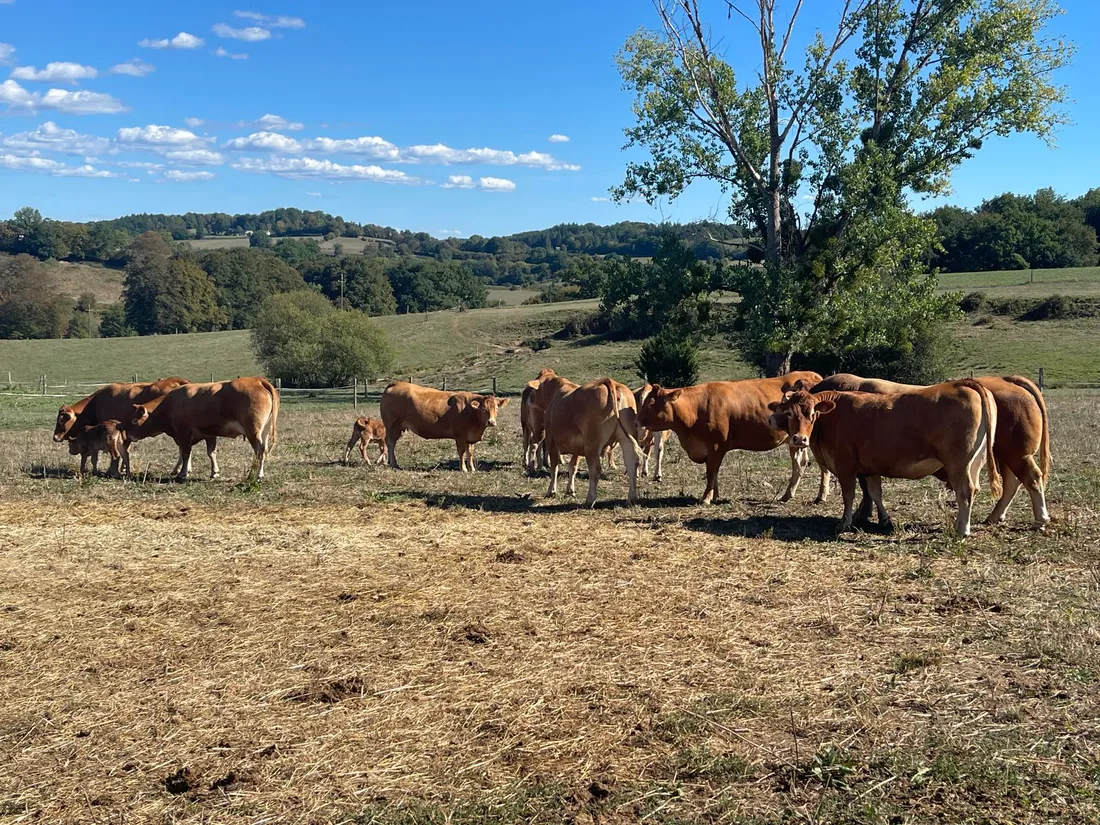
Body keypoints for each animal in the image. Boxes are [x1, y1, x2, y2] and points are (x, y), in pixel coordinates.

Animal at [128, 377, 279, 480]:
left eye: (135, 421)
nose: (129, 435)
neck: (169, 404)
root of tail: (257, 380)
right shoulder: (209, 435)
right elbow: (210, 453)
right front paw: (214, 472)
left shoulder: (183, 433)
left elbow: (185, 453)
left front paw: (183, 472)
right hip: (264, 431)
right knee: (263, 450)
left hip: (253, 431)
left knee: (259, 451)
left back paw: (256, 474)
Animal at [542, 377, 643, 507]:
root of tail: (609, 381)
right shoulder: (578, 447)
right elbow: (573, 467)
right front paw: (570, 490)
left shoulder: (551, 440)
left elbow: (554, 468)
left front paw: (551, 491)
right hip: (625, 437)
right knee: (632, 462)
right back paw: (631, 498)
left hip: (592, 443)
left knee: (595, 469)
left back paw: (589, 500)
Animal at [635, 372, 825, 505]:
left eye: (651, 404)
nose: (637, 421)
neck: (696, 409)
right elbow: (713, 473)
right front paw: (715, 495)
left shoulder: (716, 446)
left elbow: (711, 472)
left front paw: (706, 497)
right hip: (796, 441)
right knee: (799, 464)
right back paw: (787, 495)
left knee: (822, 467)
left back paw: (820, 496)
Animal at [768, 380, 1001, 537]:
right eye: (789, 412)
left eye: (811, 414)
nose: (799, 439)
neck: (832, 416)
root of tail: (961, 383)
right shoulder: (870, 468)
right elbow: (875, 493)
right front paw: (885, 519)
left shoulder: (845, 466)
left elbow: (849, 495)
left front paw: (844, 523)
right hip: (974, 463)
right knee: (973, 490)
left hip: (958, 464)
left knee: (965, 491)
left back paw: (962, 530)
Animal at [811, 373, 1050, 530]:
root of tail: (1008, 380)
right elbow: (870, 489)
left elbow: (861, 490)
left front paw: (861, 515)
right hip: (1002, 457)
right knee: (1012, 483)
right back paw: (994, 517)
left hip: (1015, 455)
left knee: (1030, 479)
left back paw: (1040, 519)